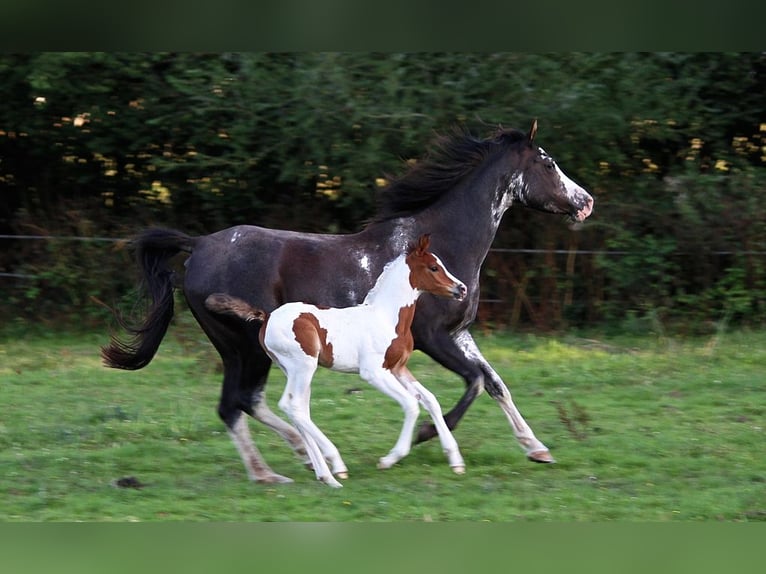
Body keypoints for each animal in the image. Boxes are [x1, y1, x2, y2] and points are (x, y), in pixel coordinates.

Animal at [204, 236, 468, 488]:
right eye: (434, 267)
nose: (462, 288)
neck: (386, 317)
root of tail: (267, 317)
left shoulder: (398, 368)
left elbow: (430, 400)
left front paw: (455, 460)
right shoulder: (373, 372)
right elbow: (411, 404)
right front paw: (390, 459)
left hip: (293, 370)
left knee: (296, 409)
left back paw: (324, 473)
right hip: (303, 367)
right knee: (293, 406)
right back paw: (335, 466)